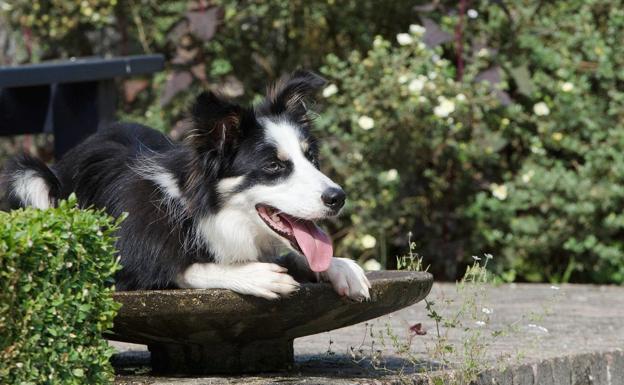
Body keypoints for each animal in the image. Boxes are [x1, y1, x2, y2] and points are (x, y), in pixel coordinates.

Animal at [1, 71, 370, 300]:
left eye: (312, 158)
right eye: (274, 166)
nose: (338, 198)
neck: (201, 212)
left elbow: (299, 255)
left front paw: (343, 267)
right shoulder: (117, 261)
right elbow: (183, 268)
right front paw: (257, 275)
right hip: (27, 176)